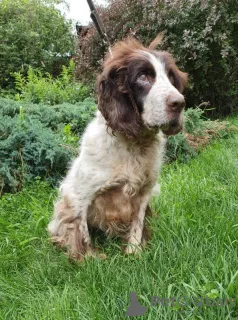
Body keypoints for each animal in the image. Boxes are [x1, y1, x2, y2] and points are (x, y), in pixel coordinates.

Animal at [48, 36, 188, 260]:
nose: (180, 103)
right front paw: (90, 259)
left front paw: (134, 252)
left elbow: (137, 225)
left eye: (171, 78)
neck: (135, 144)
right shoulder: (80, 194)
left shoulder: (144, 192)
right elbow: (81, 232)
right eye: (143, 77)